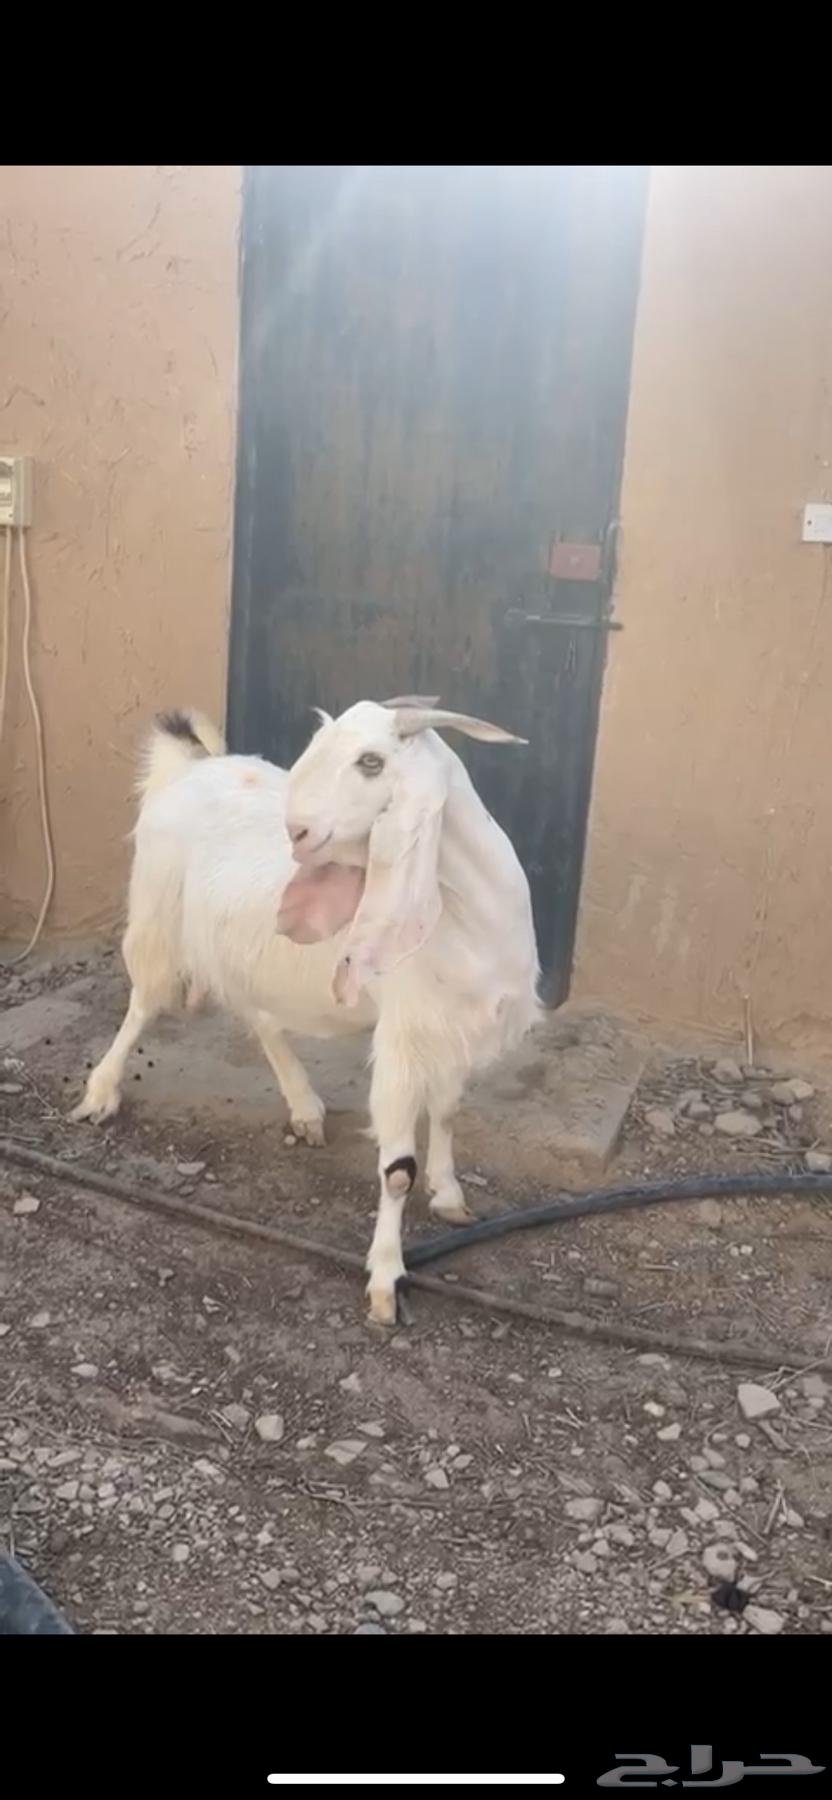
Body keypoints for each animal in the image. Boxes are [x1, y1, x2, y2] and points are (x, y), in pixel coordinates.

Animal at [72, 699, 540, 1323]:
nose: (297, 832)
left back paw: (305, 1107)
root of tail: (191, 767)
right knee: (143, 1005)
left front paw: (450, 1198)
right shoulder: (404, 1036)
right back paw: (100, 1093)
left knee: (260, 1017)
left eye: (372, 761)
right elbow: (397, 1171)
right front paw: (385, 1282)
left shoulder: (453, 1027)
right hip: (157, 915)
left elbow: (445, 1114)